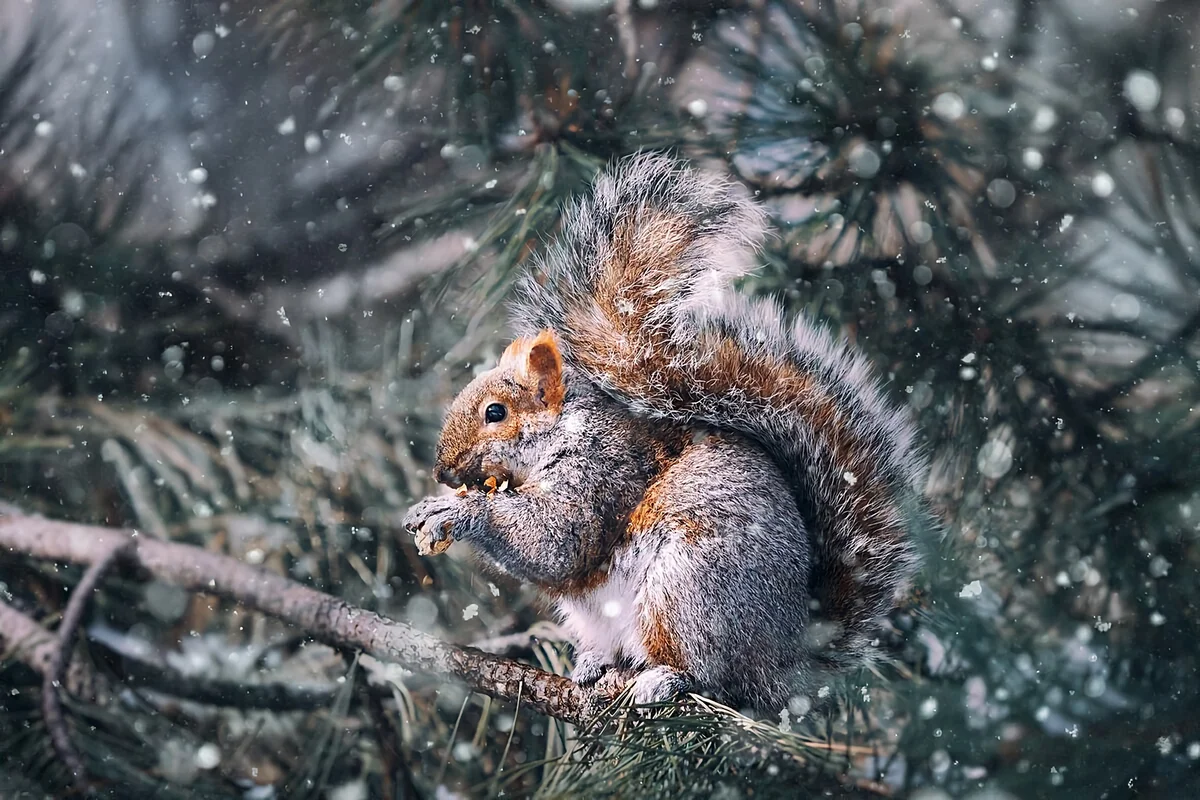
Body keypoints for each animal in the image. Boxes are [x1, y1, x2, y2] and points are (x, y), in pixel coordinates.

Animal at [403, 151, 926, 714]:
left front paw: (458, 512)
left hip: (688, 590)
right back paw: (592, 663)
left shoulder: (601, 471)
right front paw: (427, 507)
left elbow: (556, 541)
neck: (563, 433)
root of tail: (789, 663)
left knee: (711, 674)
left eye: (495, 413)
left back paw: (664, 680)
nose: (442, 470)